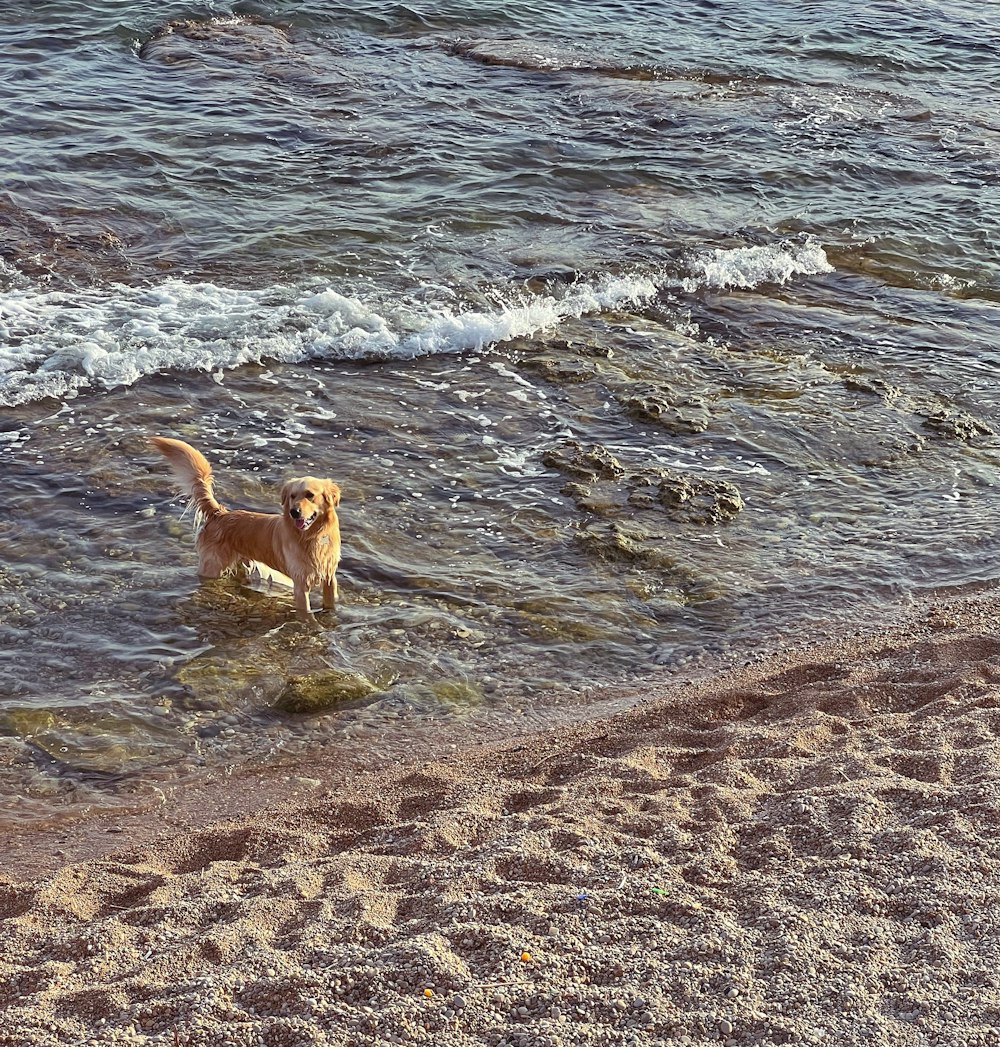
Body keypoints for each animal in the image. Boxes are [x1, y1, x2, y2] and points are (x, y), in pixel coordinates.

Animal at [150, 435, 341, 615]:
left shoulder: (329, 578)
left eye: (310, 495)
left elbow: (330, 603)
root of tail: (219, 513)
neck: (314, 536)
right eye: (292, 496)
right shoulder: (301, 584)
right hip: (212, 565)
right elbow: (305, 612)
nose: (294, 512)